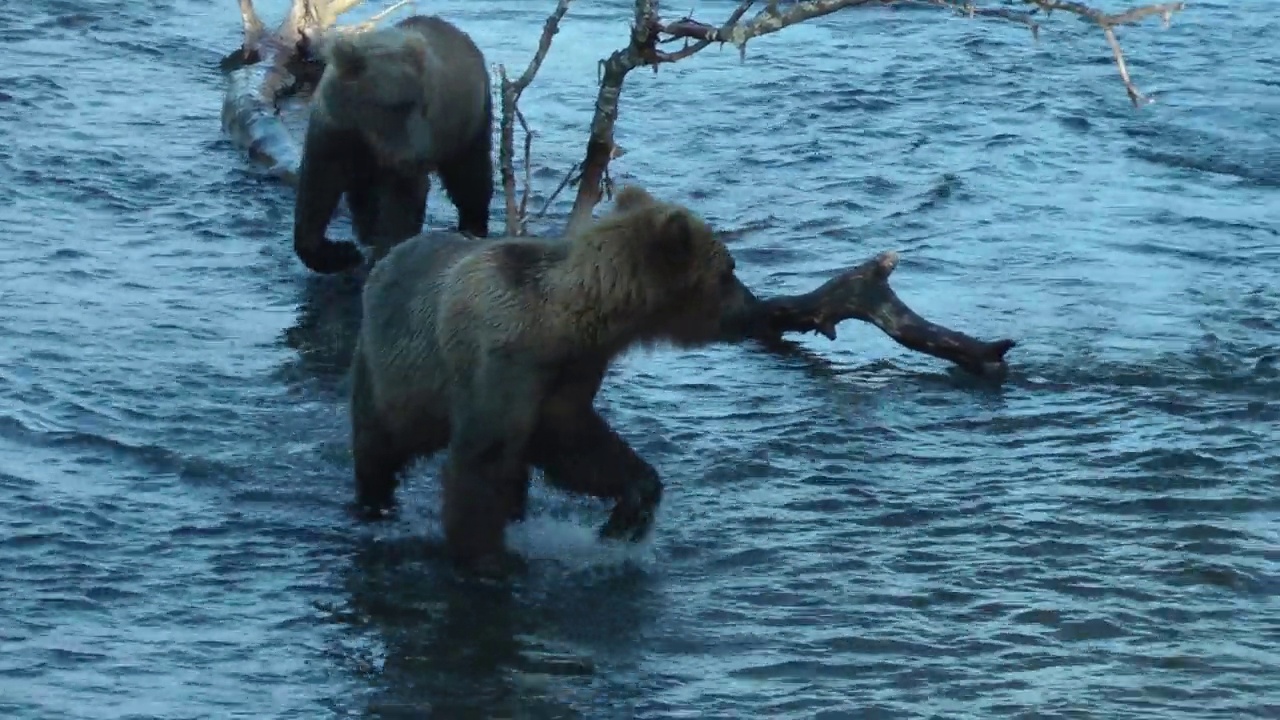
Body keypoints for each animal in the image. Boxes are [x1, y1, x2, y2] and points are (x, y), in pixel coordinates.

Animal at [294, 17, 494, 274]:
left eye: (423, 105)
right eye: (392, 106)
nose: (413, 158)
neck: (364, 133)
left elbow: (403, 203)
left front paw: (383, 254)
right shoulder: (333, 132)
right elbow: (317, 190)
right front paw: (342, 253)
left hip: (468, 123)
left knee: (471, 176)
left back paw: (473, 225)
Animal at [345, 183, 752, 566]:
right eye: (728, 270)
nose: (753, 305)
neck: (559, 322)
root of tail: (388, 256)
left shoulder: (568, 374)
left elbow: (578, 447)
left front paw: (625, 518)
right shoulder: (501, 363)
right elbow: (483, 459)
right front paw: (485, 555)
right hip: (390, 374)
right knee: (378, 446)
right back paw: (375, 504)